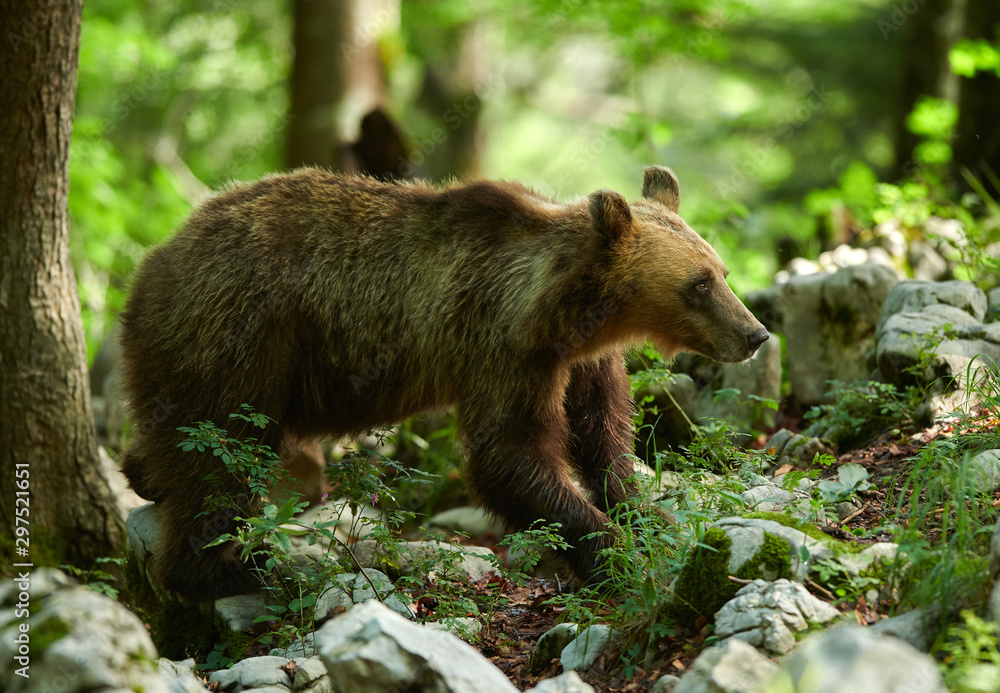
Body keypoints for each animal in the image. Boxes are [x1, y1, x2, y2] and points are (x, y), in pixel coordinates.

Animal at [119, 165, 768, 601]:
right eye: (699, 284)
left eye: (721, 271)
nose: (755, 333)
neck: (572, 312)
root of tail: (153, 262)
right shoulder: (503, 343)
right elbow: (510, 453)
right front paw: (612, 552)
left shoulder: (582, 361)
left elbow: (602, 438)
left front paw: (645, 513)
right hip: (239, 333)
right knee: (220, 456)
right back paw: (234, 569)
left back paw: (145, 475)